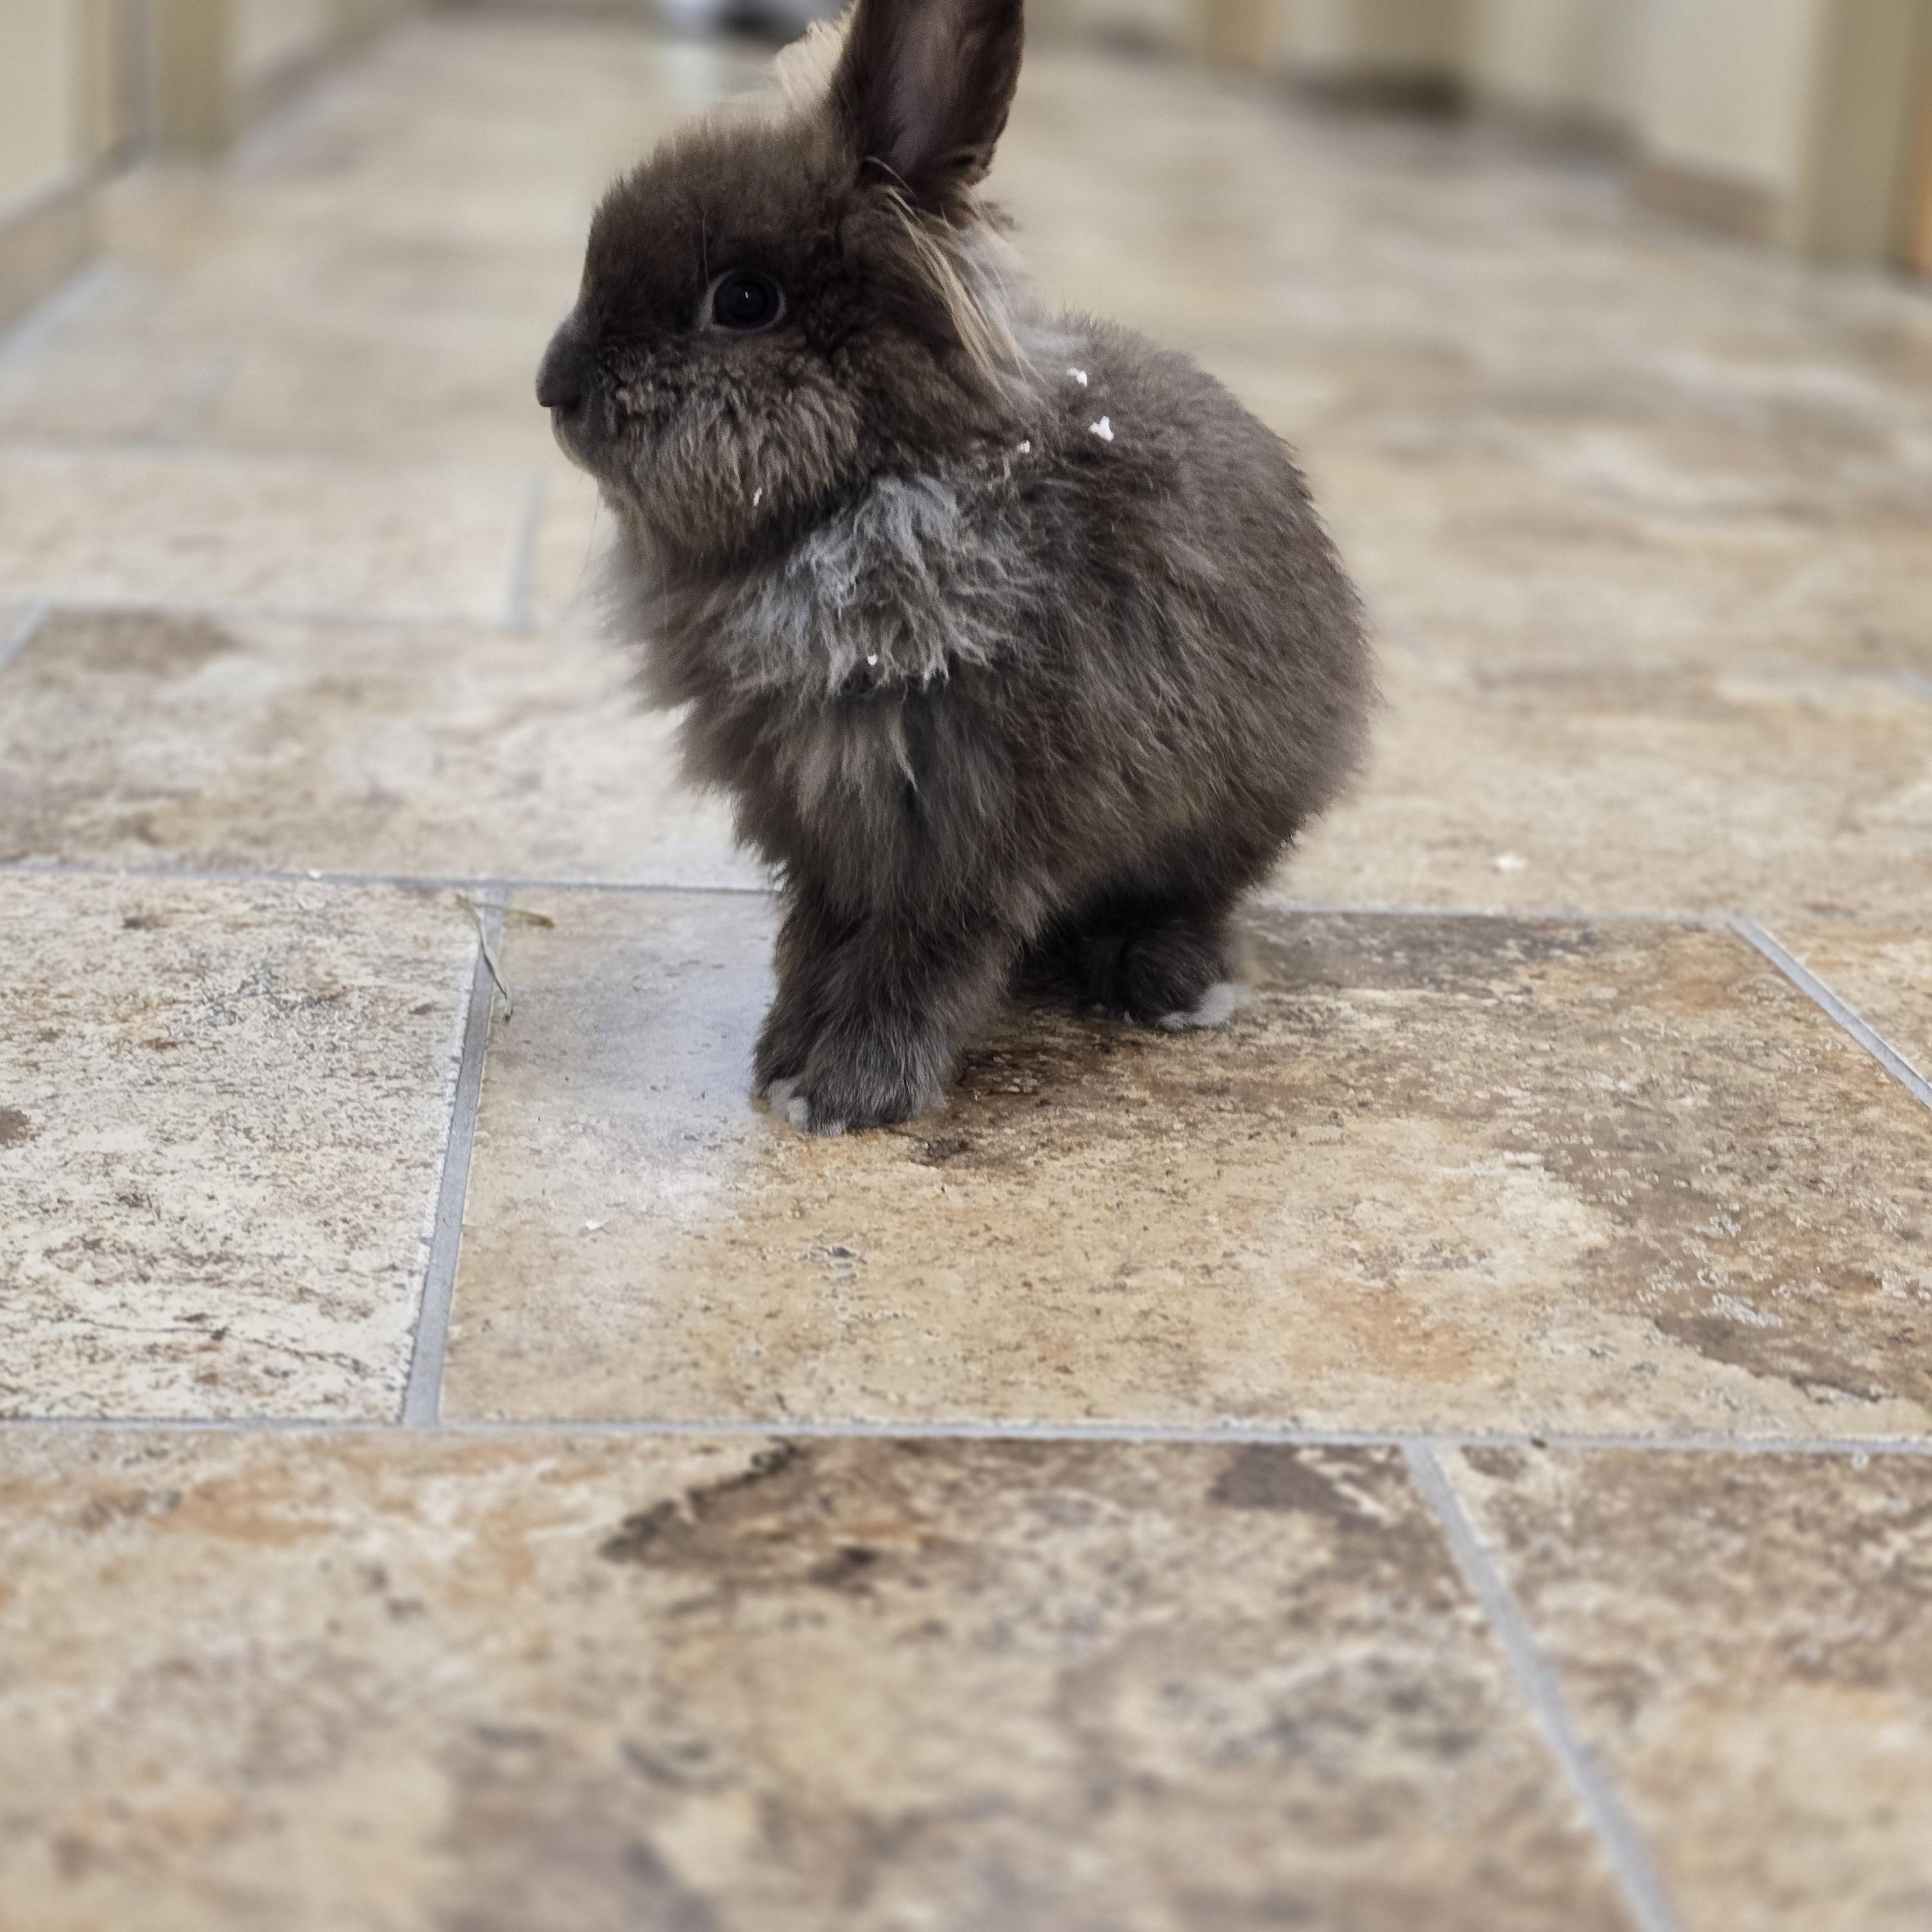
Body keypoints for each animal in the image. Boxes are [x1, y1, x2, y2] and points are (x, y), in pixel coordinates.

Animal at [536, 0, 1373, 1136]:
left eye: (743, 301)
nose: (553, 386)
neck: (874, 499)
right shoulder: (822, 835)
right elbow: (819, 940)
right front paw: (782, 1058)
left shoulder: (970, 828)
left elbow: (920, 958)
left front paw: (846, 1092)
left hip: (1232, 815)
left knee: (1193, 901)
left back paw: (1165, 981)